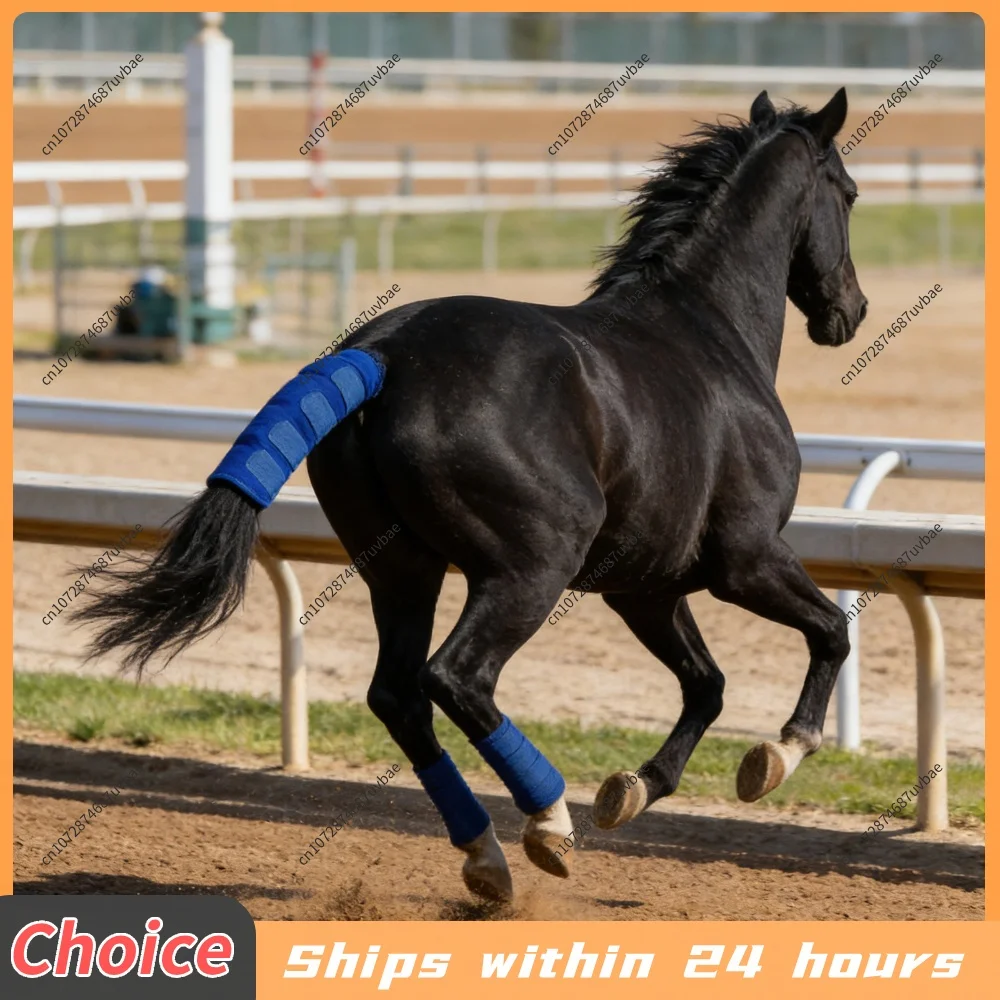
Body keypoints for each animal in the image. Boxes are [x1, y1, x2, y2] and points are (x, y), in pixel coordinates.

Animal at [74, 87, 867, 903]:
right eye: (849, 193)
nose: (852, 311)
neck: (705, 330)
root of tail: (383, 354)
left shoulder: (644, 587)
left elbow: (706, 684)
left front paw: (635, 788)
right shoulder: (746, 559)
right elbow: (829, 634)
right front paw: (778, 755)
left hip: (401, 572)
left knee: (399, 695)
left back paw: (486, 855)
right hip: (527, 572)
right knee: (457, 677)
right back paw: (546, 823)